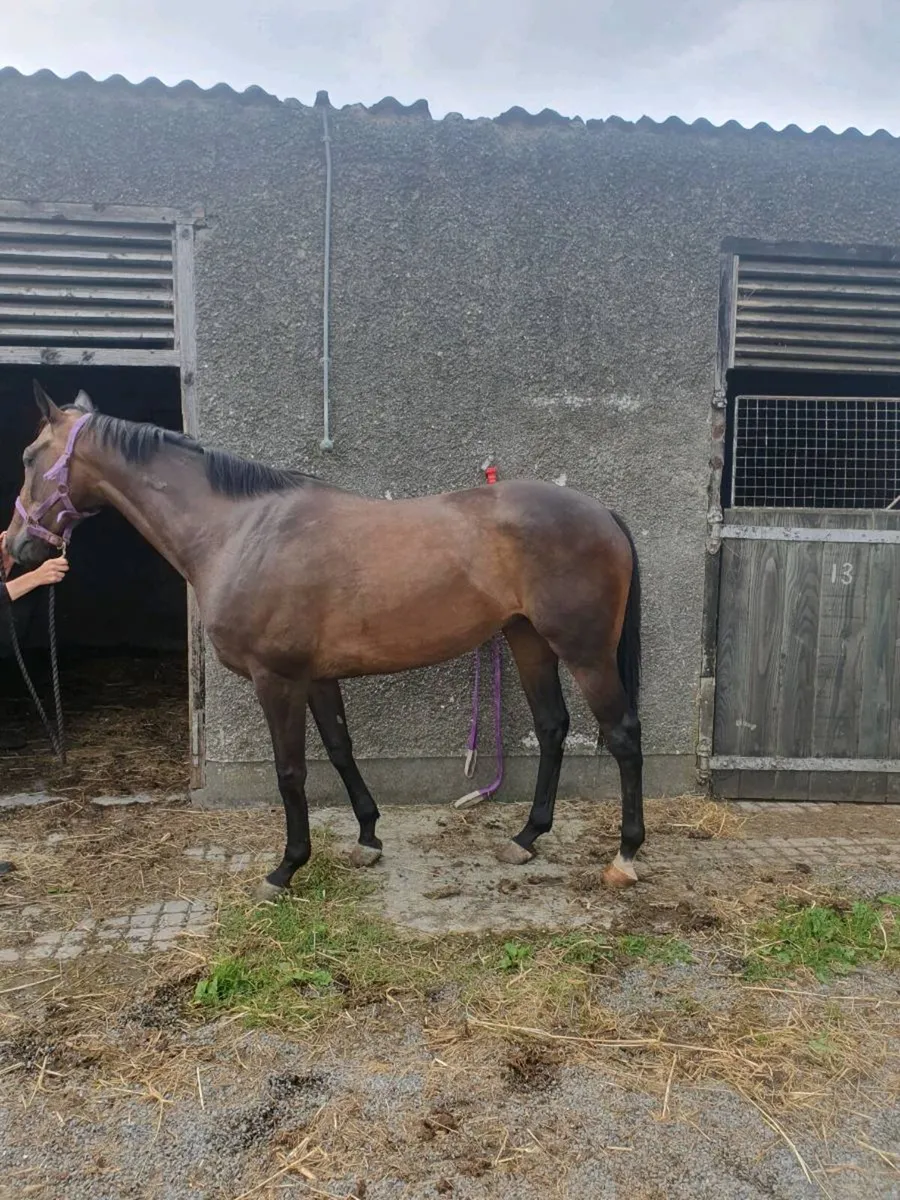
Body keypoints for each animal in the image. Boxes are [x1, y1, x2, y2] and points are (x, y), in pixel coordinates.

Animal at [8, 383, 645, 899]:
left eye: (29, 457)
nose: (17, 548)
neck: (240, 531)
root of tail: (603, 513)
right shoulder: (316, 676)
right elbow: (340, 749)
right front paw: (368, 837)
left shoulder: (276, 679)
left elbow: (290, 772)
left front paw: (285, 869)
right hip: (527, 638)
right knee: (552, 726)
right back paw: (527, 836)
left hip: (584, 651)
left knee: (620, 733)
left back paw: (625, 855)